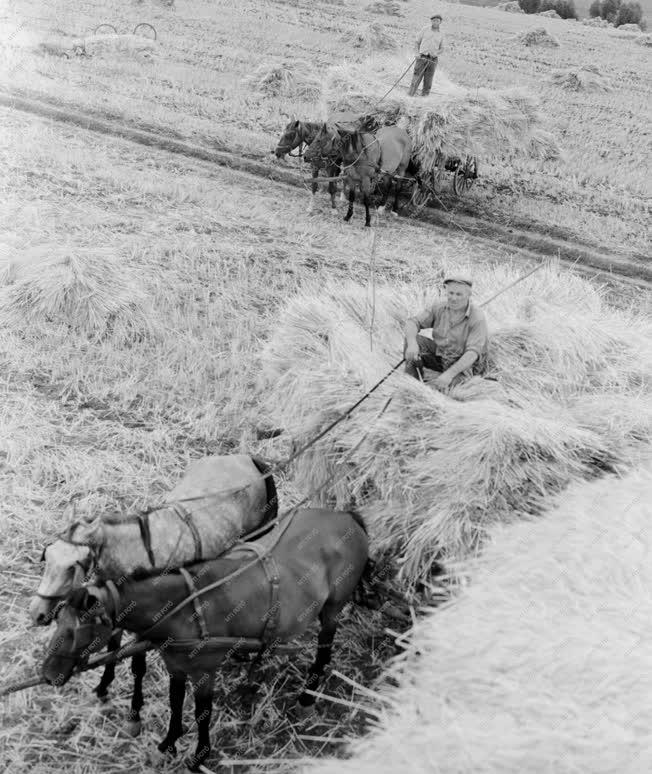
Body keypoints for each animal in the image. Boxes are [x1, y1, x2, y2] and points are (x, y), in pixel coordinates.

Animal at [30, 458, 276, 736]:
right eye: (47, 554)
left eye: (73, 566)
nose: (37, 612)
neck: (137, 551)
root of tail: (247, 458)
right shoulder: (114, 605)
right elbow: (113, 648)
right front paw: (104, 687)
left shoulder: (148, 623)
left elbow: (138, 667)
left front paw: (134, 714)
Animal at [43, 512, 370, 772]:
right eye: (59, 621)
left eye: (79, 630)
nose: (47, 674)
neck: (184, 609)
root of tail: (348, 518)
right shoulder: (175, 665)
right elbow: (175, 702)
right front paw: (169, 743)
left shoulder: (204, 672)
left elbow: (203, 713)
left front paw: (199, 756)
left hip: (332, 609)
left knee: (324, 650)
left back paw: (307, 698)